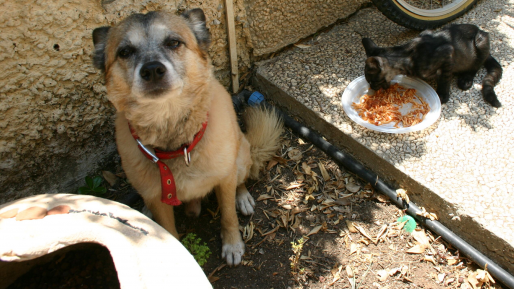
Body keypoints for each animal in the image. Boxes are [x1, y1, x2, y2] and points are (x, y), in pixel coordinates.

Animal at [93, 9, 282, 266]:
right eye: (125, 52)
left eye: (174, 42)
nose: (152, 70)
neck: (177, 146)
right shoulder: (159, 199)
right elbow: (169, 234)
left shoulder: (224, 179)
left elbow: (228, 216)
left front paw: (233, 245)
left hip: (241, 156)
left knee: (241, 181)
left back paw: (242, 197)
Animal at [360, 23, 500, 107]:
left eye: (372, 80)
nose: (371, 87)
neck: (409, 54)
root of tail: (480, 30)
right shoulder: (426, 32)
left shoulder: (448, 52)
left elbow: (445, 78)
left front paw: (442, 96)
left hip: (480, 43)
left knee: (475, 66)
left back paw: (466, 79)